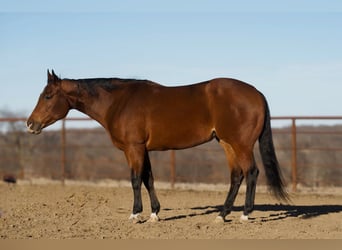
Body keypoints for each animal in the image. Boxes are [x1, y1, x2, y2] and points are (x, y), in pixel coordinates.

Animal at [27, 70, 288, 223]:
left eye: (48, 95)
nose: (31, 124)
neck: (119, 102)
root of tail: (256, 93)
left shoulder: (134, 148)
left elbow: (135, 179)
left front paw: (135, 214)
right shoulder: (142, 149)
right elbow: (148, 179)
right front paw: (154, 213)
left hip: (241, 144)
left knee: (251, 172)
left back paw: (245, 214)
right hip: (227, 143)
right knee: (236, 176)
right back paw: (222, 215)